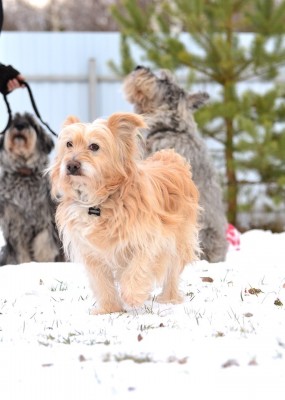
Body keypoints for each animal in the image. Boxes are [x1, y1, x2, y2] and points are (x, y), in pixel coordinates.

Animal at [0, 111, 62, 266]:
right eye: (12, 121)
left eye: (31, 122)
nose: (20, 125)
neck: (24, 174)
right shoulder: (14, 224)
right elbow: (21, 251)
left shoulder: (46, 221)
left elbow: (44, 245)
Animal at [48, 111, 200, 314]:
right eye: (69, 144)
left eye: (94, 146)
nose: (71, 165)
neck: (99, 201)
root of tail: (169, 157)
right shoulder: (91, 252)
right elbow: (102, 282)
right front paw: (109, 309)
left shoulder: (149, 239)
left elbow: (138, 268)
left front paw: (133, 296)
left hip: (180, 239)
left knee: (172, 271)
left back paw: (169, 298)